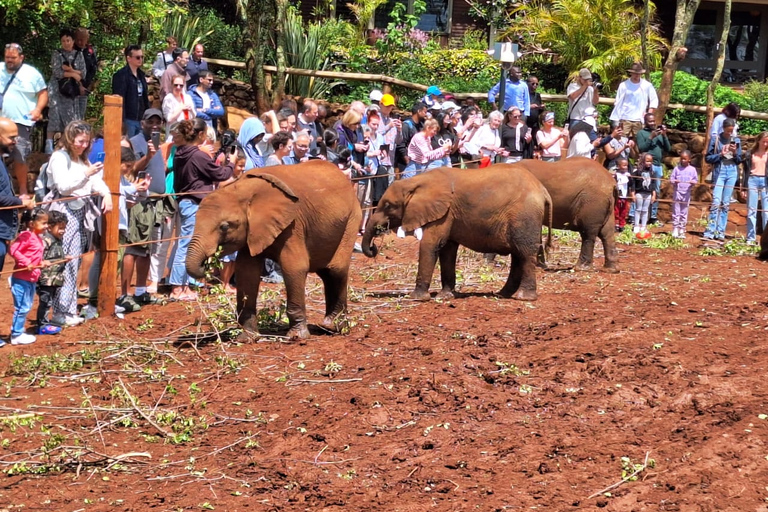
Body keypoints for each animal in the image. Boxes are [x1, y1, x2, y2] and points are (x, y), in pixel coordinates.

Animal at [188, 162, 364, 342]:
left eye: (224, 227)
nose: (207, 262)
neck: (243, 189)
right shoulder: (253, 231)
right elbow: (246, 272)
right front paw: (247, 338)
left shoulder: (293, 225)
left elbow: (294, 268)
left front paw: (297, 337)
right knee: (326, 272)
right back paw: (329, 326)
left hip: (352, 218)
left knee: (335, 269)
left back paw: (333, 327)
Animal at [362, 166, 552, 300]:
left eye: (388, 205)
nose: (373, 248)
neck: (416, 181)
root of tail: (543, 191)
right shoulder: (449, 213)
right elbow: (447, 250)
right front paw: (445, 296)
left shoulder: (444, 212)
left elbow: (431, 244)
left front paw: (416, 298)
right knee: (518, 255)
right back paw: (501, 294)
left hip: (524, 216)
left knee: (525, 253)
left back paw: (523, 298)